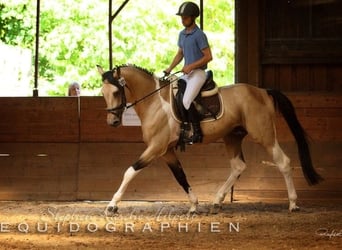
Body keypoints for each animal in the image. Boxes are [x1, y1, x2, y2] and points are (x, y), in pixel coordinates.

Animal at [96, 63, 324, 214]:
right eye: (103, 92)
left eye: (116, 91)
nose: (112, 121)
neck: (155, 102)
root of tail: (262, 91)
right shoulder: (167, 151)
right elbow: (180, 176)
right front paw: (194, 205)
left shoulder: (156, 148)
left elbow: (130, 171)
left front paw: (112, 205)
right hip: (232, 136)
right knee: (238, 166)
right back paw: (217, 200)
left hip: (264, 135)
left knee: (283, 162)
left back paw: (293, 203)